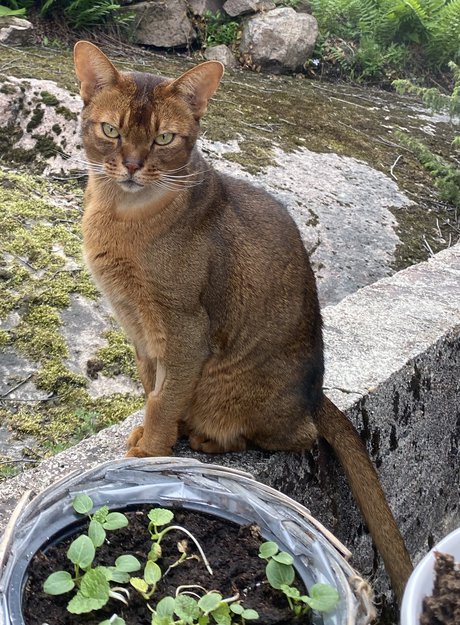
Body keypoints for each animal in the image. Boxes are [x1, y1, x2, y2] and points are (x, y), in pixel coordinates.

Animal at [74, 41, 413, 600]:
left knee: (300, 437)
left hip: (240, 388)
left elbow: (164, 398)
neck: (123, 215)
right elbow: (152, 389)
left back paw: (213, 439)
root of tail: (317, 394)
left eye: (164, 138)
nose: (132, 165)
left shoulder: (184, 329)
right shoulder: (140, 331)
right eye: (111, 130)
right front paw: (153, 435)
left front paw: (152, 452)